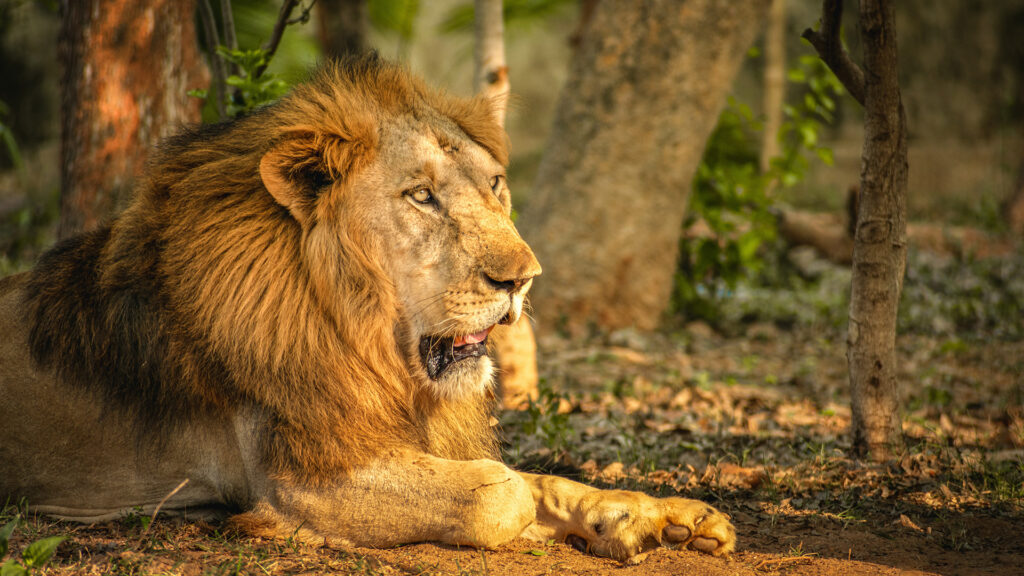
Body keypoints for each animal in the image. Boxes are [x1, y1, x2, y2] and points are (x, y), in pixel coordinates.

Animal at [0, 54, 734, 563]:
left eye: (496, 184)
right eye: (421, 197)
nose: (522, 280)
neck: (361, 336)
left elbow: (544, 479)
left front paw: (657, 515)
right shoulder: (304, 475)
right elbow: (500, 490)